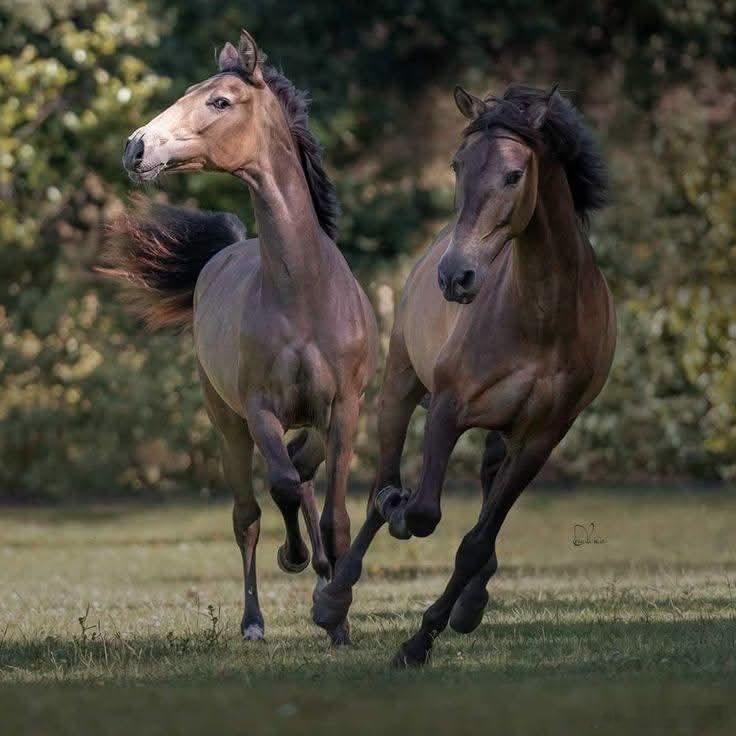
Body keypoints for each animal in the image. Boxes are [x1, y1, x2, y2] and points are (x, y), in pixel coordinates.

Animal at [102, 30, 378, 646]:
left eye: (220, 101)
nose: (136, 147)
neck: (302, 294)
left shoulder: (344, 410)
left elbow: (335, 512)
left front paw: (338, 618)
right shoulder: (259, 411)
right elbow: (280, 487)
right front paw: (299, 563)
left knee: (305, 473)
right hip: (226, 423)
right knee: (249, 515)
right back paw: (256, 618)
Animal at [313, 84, 616, 665]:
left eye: (514, 175)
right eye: (457, 165)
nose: (456, 277)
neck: (541, 316)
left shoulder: (541, 437)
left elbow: (476, 542)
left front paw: (421, 639)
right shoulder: (449, 409)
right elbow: (422, 512)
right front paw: (400, 514)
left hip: (504, 432)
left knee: (483, 501)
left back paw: (470, 603)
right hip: (399, 388)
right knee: (380, 486)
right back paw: (334, 597)